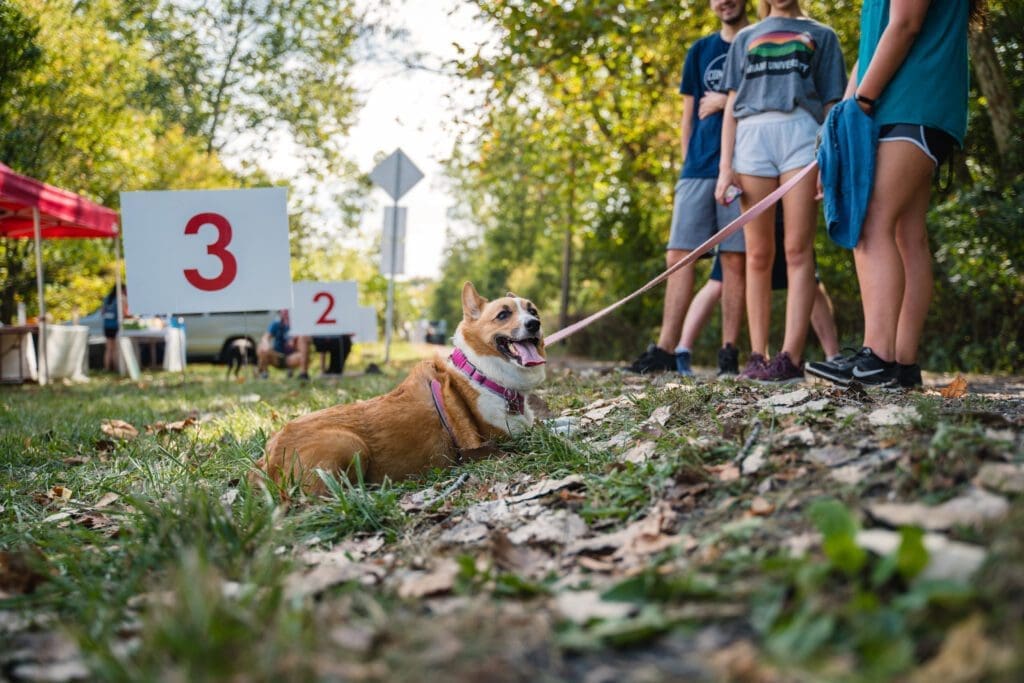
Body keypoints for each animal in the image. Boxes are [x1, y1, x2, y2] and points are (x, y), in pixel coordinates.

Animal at [249, 280, 544, 493]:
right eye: (503, 314)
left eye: (533, 310)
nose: (535, 324)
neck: (482, 372)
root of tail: (266, 461)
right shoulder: (502, 436)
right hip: (349, 443)